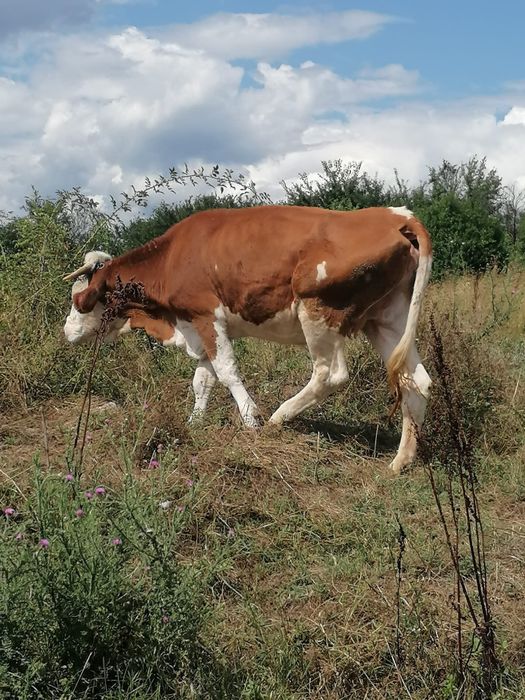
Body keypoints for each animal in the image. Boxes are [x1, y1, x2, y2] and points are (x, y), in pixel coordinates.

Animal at [63, 205, 432, 474]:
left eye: (78, 296)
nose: (66, 331)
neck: (171, 257)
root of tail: (396, 215)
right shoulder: (196, 325)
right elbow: (203, 380)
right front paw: (195, 423)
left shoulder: (206, 316)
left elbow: (227, 372)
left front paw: (251, 419)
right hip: (387, 320)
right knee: (417, 383)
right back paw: (400, 461)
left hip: (318, 311)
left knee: (330, 374)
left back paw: (278, 418)